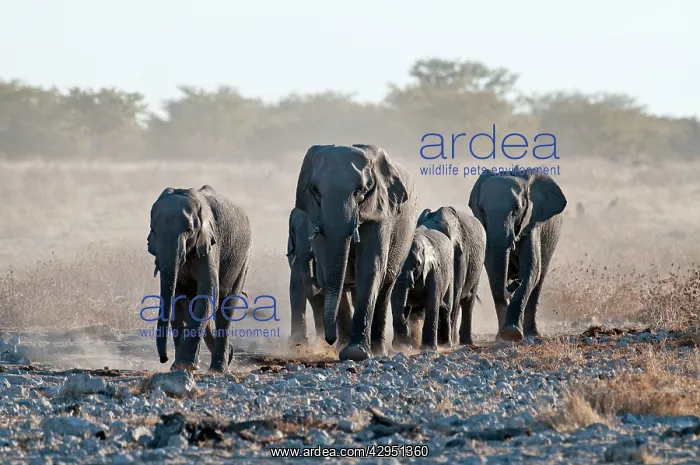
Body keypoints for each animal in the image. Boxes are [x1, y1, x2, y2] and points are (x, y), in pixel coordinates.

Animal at [147, 185, 253, 372]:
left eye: (189, 231)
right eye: (153, 230)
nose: (163, 359)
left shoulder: (210, 244)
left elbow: (208, 294)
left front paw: (184, 365)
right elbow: (177, 300)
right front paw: (179, 367)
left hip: (244, 258)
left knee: (226, 309)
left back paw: (219, 368)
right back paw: (228, 355)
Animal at [295, 144, 419, 361]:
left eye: (360, 191)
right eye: (315, 191)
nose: (329, 339)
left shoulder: (381, 211)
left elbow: (370, 269)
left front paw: (356, 354)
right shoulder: (314, 217)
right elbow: (330, 272)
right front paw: (344, 350)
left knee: (385, 288)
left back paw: (378, 350)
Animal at [416, 206, 486, 346]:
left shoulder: (460, 254)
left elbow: (454, 292)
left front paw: (446, 342)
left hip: (479, 265)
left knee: (467, 302)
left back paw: (462, 341)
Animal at [468, 168, 567, 342]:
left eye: (516, 210)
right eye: (482, 211)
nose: (515, 282)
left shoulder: (531, 222)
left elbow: (531, 269)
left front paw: (512, 333)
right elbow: (493, 273)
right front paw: (502, 337)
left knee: (539, 280)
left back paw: (532, 334)